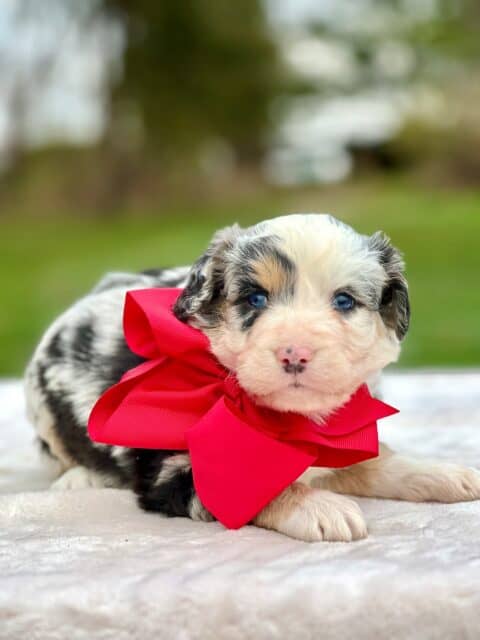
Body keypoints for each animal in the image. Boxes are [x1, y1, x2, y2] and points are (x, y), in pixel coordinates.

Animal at [24, 214, 480, 540]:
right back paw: (79, 478)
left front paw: (444, 474)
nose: (294, 352)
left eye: (344, 301)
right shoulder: (174, 470)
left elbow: (378, 461)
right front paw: (321, 508)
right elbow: (259, 486)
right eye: (255, 298)